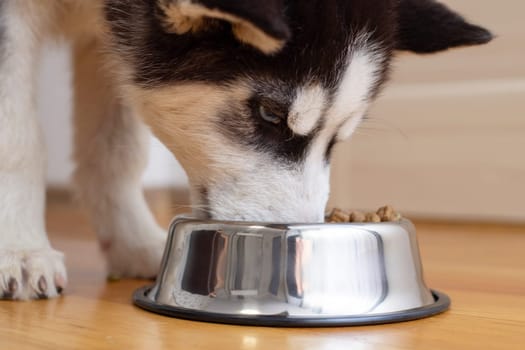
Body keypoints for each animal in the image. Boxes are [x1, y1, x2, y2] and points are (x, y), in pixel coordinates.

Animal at [1, 0, 492, 300]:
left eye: (338, 138)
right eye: (270, 113)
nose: (293, 258)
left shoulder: (113, 40)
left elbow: (116, 151)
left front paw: (133, 243)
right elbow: (18, 138)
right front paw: (20, 249)